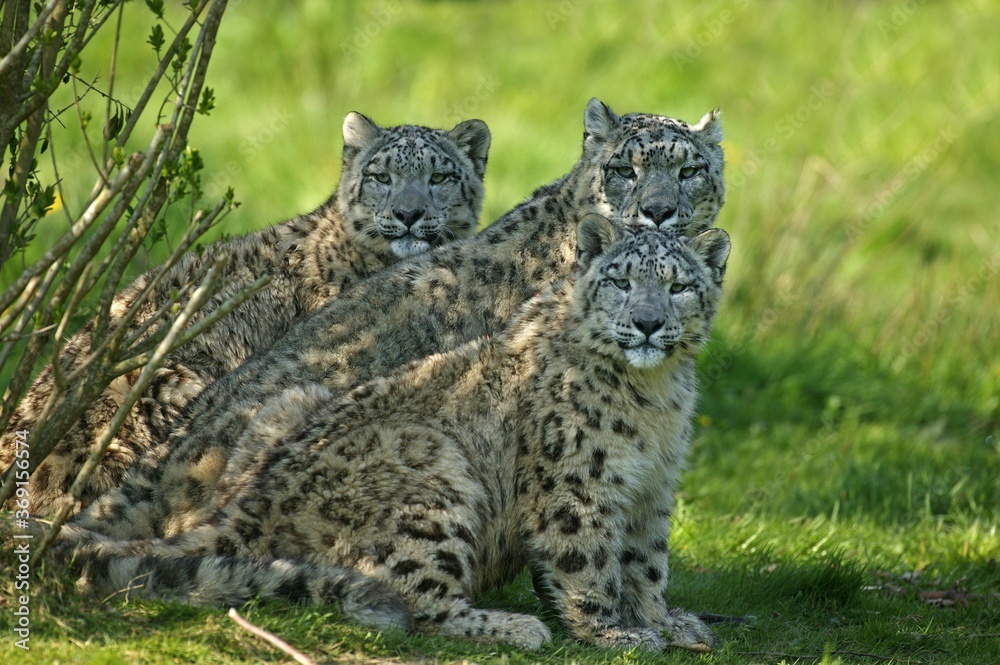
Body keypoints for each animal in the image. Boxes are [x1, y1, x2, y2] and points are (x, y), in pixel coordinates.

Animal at [38, 217, 731, 652]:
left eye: (680, 284)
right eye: (621, 280)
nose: (648, 322)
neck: (656, 399)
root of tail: (249, 503)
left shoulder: (654, 487)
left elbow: (647, 562)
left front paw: (666, 622)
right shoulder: (579, 484)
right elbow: (587, 561)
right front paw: (616, 633)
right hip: (438, 482)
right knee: (410, 598)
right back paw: (512, 627)